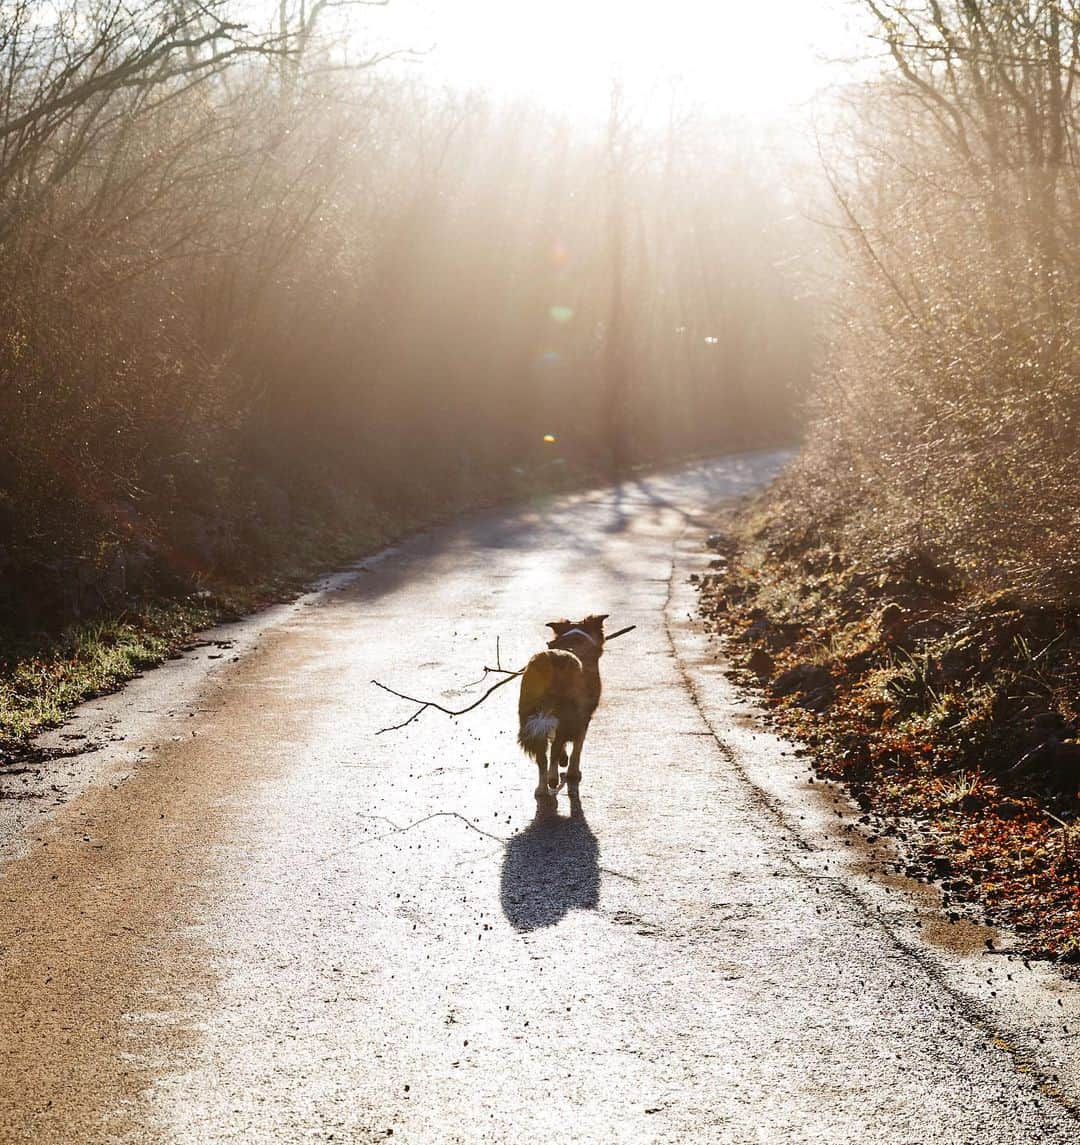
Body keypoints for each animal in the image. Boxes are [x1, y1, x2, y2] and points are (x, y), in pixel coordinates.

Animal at [517, 618, 609, 796]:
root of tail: (551, 661)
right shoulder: (584, 716)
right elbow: (577, 746)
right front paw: (573, 772)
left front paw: (563, 759)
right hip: (567, 711)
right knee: (554, 748)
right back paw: (552, 779)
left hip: (531, 714)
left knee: (542, 755)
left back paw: (541, 788)